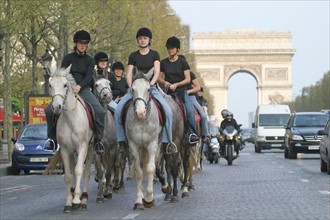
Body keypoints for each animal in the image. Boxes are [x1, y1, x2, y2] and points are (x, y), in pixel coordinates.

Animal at [49, 65, 94, 213]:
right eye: (50, 85)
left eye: (65, 85)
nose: (56, 107)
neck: (70, 118)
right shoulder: (65, 149)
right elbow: (68, 175)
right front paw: (69, 201)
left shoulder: (82, 147)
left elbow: (79, 171)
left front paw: (76, 201)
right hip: (72, 152)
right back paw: (75, 192)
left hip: (91, 149)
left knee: (86, 173)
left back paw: (83, 199)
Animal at [125, 68, 162, 210]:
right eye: (132, 89)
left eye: (148, 89)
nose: (140, 112)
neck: (142, 121)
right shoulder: (133, 145)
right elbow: (139, 171)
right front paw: (139, 200)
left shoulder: (152, 144)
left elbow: (150, 168)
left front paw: (149, 198)